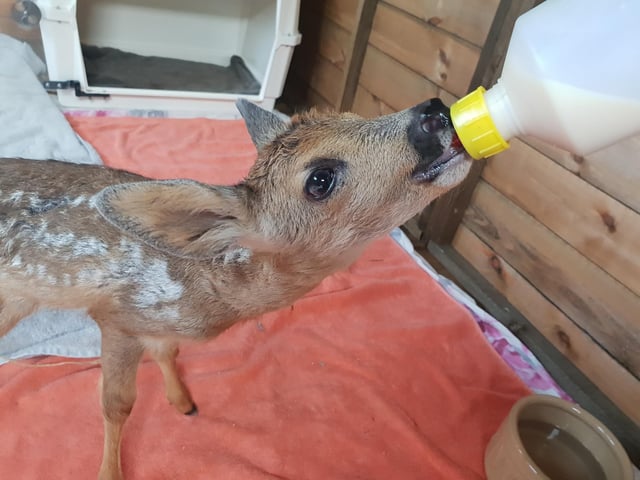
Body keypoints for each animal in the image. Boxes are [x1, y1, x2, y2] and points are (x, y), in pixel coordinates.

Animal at [0, 98, 471, 479]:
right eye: (320, 179)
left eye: (354, 116)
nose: (433, 111)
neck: (210, 291)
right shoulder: (115, 317)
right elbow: (116, 404)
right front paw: (109, 473)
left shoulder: (154, 322)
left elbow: (167, 352)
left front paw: (183, 401)